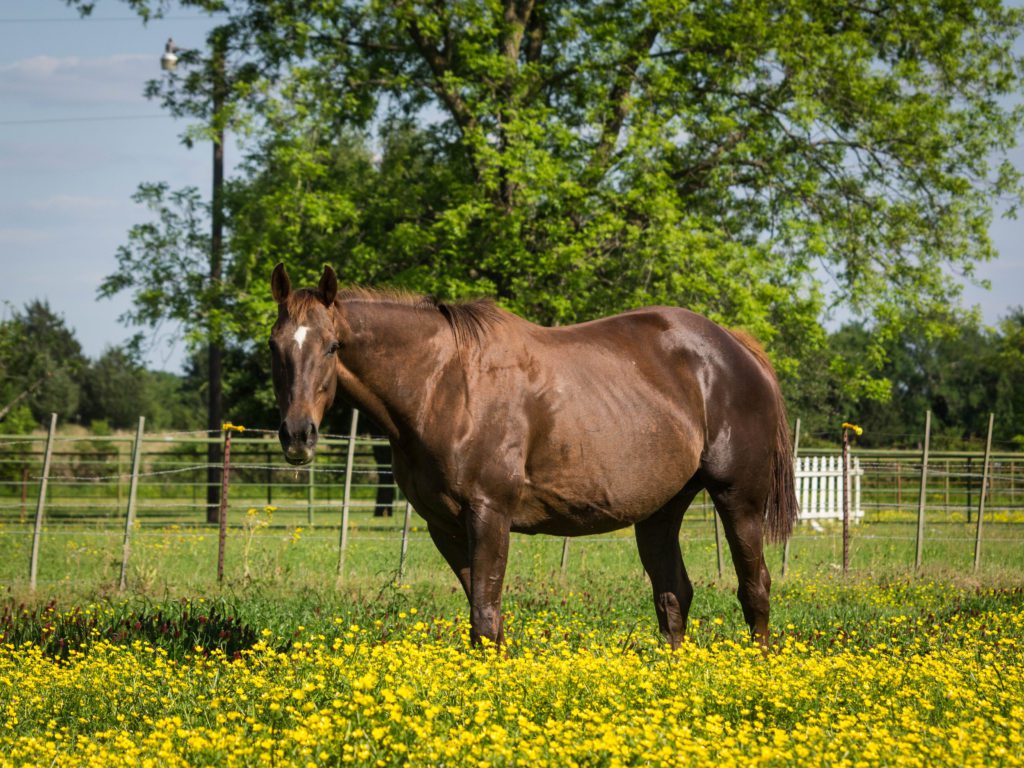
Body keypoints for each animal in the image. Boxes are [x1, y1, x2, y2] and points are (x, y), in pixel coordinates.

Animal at [270, 264, 798, 651]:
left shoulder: (489, 514)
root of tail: (735, 347)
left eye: (333, 346)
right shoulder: (444, 526)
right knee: (673, 595)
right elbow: (486, 615)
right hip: (660, 511)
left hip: (738, 501)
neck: (444, 386)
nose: (297, 435)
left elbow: (484, 616)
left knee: (754, 589)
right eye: (275, 346)